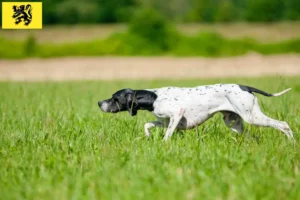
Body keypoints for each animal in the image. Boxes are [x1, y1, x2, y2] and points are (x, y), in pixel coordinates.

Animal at [98, 83, 292, 141]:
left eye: (114, 99)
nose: (99, 102)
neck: (153, 97)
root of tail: (245, 87)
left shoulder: (177, 114)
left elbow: (167, 135)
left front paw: (163, 145)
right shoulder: (165, 121)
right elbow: (148, 124)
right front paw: (147, 135)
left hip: (252, 116)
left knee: (283, 125)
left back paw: (291, 142)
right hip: (234, 123)